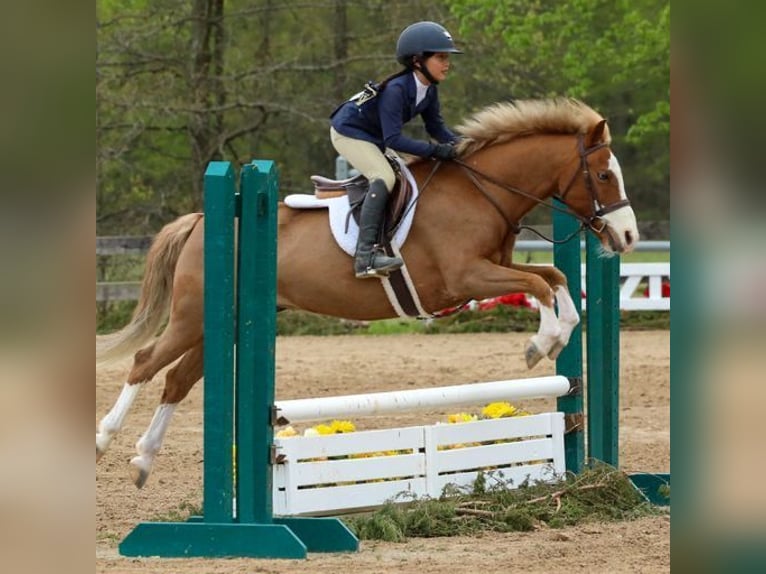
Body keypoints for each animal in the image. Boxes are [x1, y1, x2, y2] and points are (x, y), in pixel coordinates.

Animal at [96, 98, 640, 486]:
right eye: (604, 174)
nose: (628, 237)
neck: (480, 192)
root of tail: (200, 220)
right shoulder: (465, 277)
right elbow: (538, 284)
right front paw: (539, 345)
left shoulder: (494, 268)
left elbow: (554, 280)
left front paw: (557, 336)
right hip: (194, 316)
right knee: (146, 362)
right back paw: (104, 439)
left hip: (225, 323)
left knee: (178, 379)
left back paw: (143, 461)